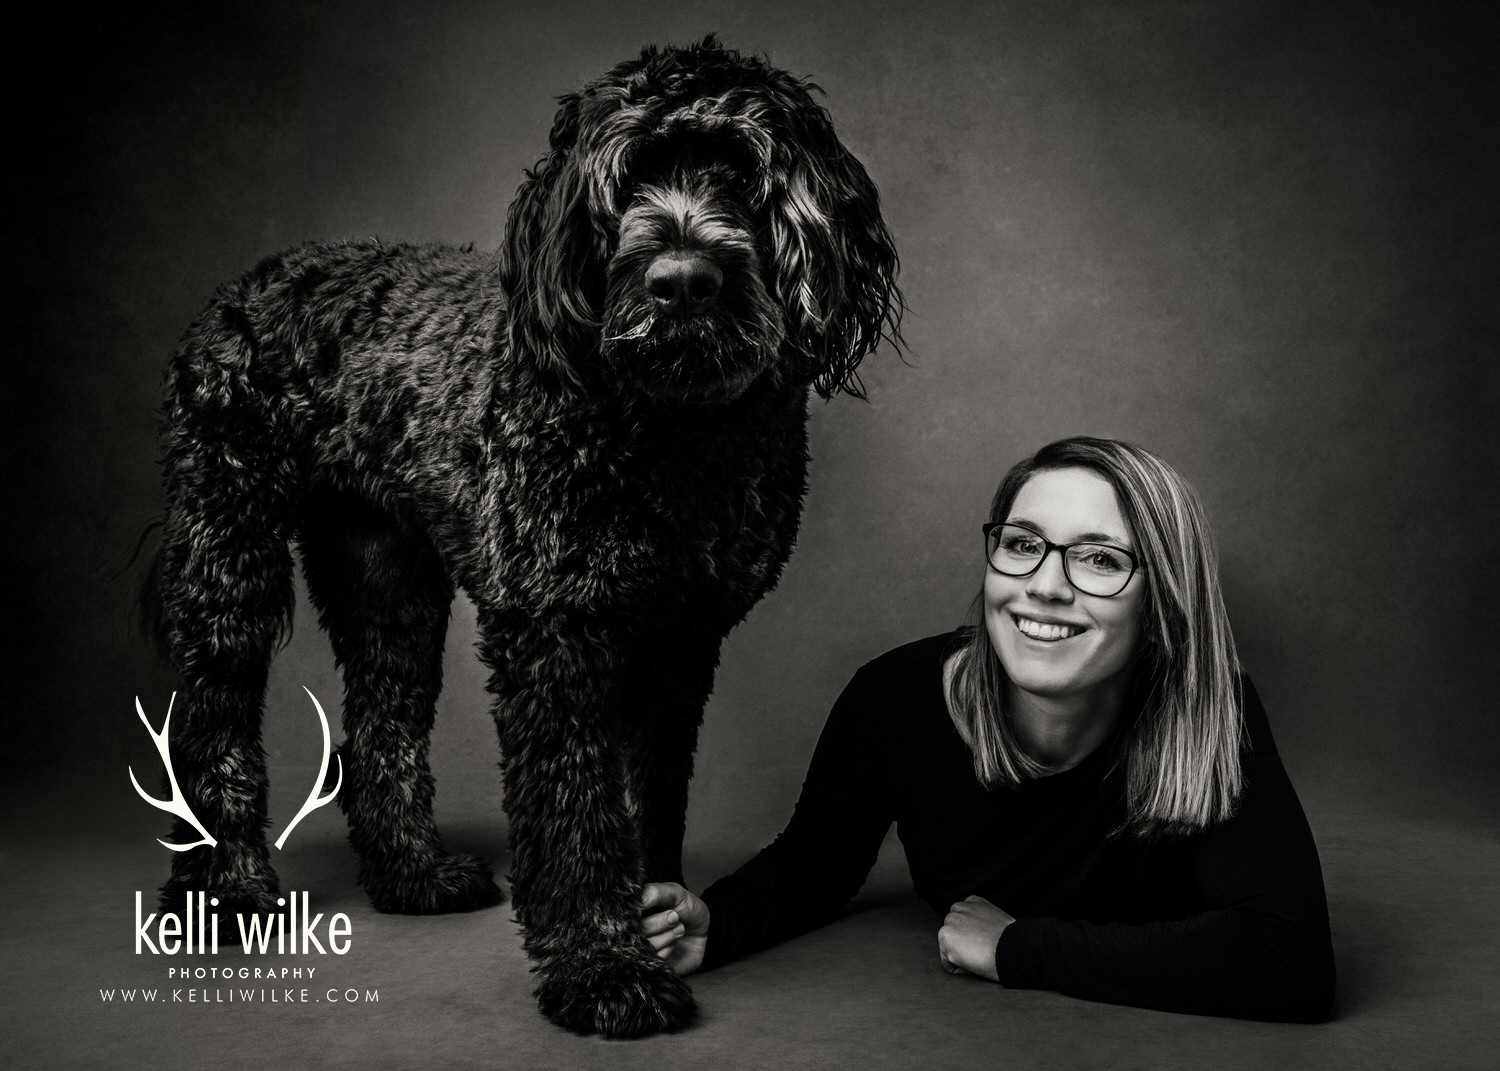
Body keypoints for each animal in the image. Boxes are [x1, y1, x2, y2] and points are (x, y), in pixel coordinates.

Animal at [146, 39, 900, 1032]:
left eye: (744, 175)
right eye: (625, 182)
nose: (682, 281)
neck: (670, 436)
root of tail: (247, 282)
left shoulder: (677, 637)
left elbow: (643, 796)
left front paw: (655, 920)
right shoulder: (556, 628)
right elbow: (576, 806)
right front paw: (602, 967)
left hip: (386, 576)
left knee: (381, 720)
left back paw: (414, 875)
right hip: (228, 546)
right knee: (214, 717)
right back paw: (225, 893)